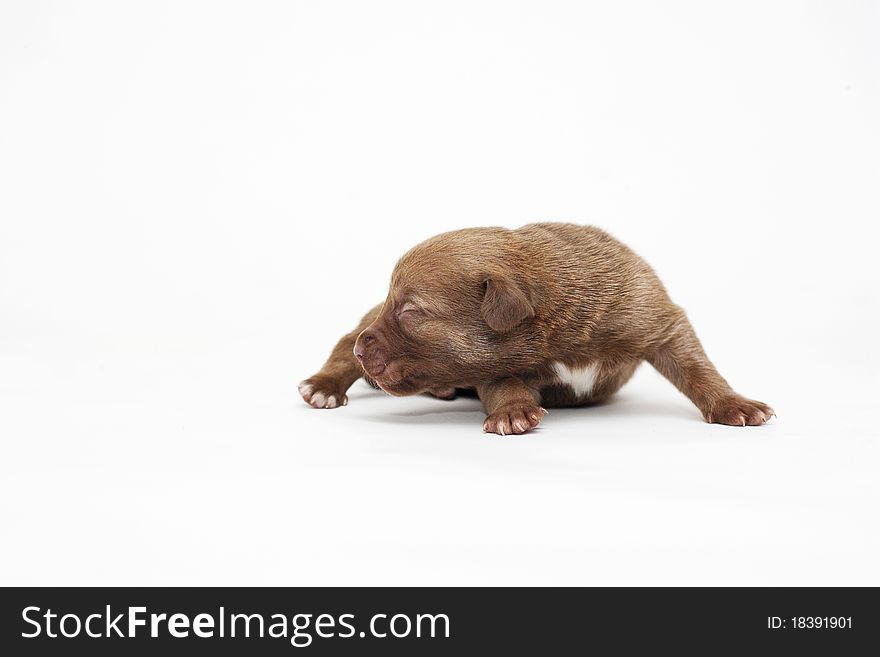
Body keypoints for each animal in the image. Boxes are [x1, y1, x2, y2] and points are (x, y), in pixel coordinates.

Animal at [300, 223, 772, 434]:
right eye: (396, 304)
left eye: (412, 311)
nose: (365, 353)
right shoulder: (491, 364)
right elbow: (505, 384)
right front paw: (512, 412)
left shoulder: (653, 316)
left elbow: (696, 367)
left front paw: (734, 404)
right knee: (343, 339)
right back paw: (323, 386)